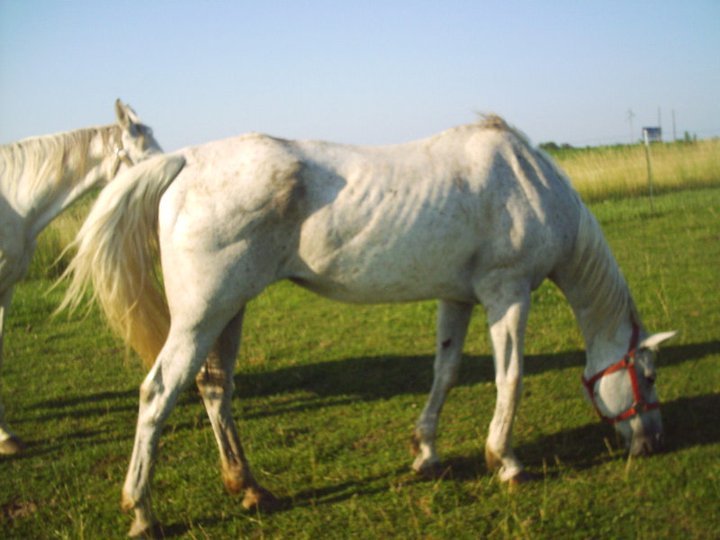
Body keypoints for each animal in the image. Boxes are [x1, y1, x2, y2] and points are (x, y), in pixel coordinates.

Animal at [62, 115, 676, 537]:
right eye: (647, 375)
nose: (651, 442)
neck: (529, 184)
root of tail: (188, 159)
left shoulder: (458, 298)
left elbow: (446, 372)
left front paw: (426, 454)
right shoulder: (508, 294)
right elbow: (511, 377)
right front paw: (506, 462)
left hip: (227, 311)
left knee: (214, 389)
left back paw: (250, 489)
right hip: (200, 316)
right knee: (159, 392)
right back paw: (142, 512)